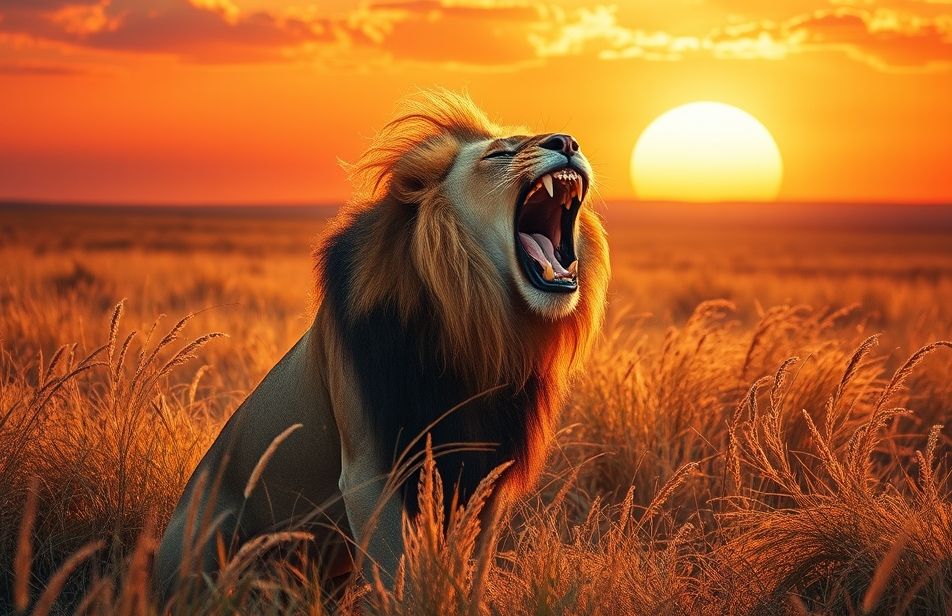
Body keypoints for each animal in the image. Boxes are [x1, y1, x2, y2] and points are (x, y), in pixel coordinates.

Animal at [153, 90, 610, 598]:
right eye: (499, 154)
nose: (567, 142)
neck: (475, 333)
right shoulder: (372, 471)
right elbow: (399, 580)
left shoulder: (488, 471)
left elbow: (469, 573)